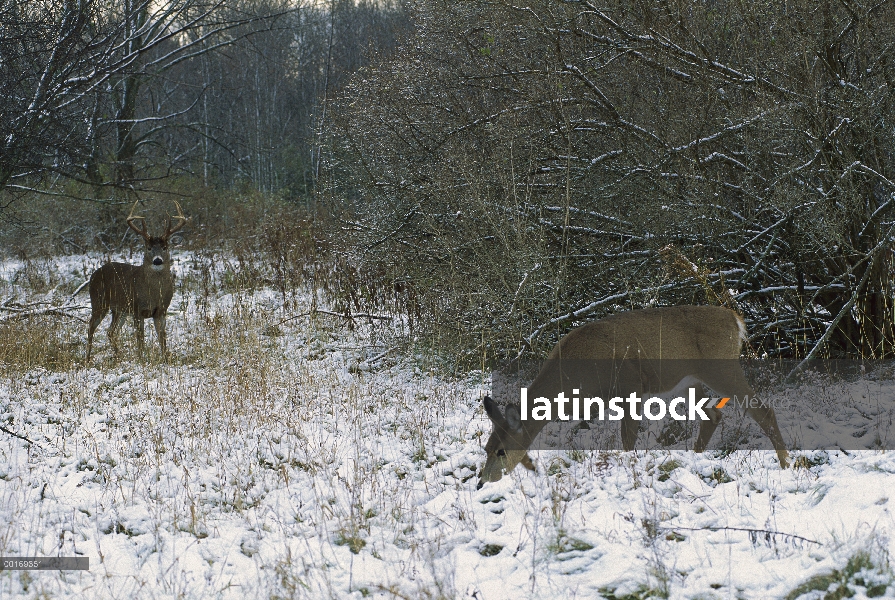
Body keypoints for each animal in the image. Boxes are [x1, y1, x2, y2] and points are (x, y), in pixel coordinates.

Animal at [86, 202, 189, 360]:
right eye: (149, 247)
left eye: (164, 247)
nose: (157, 260)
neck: (152, 293)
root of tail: (93, 275)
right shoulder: (137, 309)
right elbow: (140, 339)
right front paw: (141, 359)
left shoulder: (161, 310)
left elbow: (162, 337)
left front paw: (166, 358)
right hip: (99, 301)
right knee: (91, 326)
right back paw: (87, 358)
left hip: (119, 309)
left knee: (111, 331)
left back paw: (118, 355)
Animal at [480, 304, 788, 488]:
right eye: (486, 448)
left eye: (502, 450)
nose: (483, 481)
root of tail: (735, 320)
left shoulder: (631, 386)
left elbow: (628, 439)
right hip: (688, 381)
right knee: (713, 415)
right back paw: (692, 460)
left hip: (722, 368)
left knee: (764, 410)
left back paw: (786, 464)